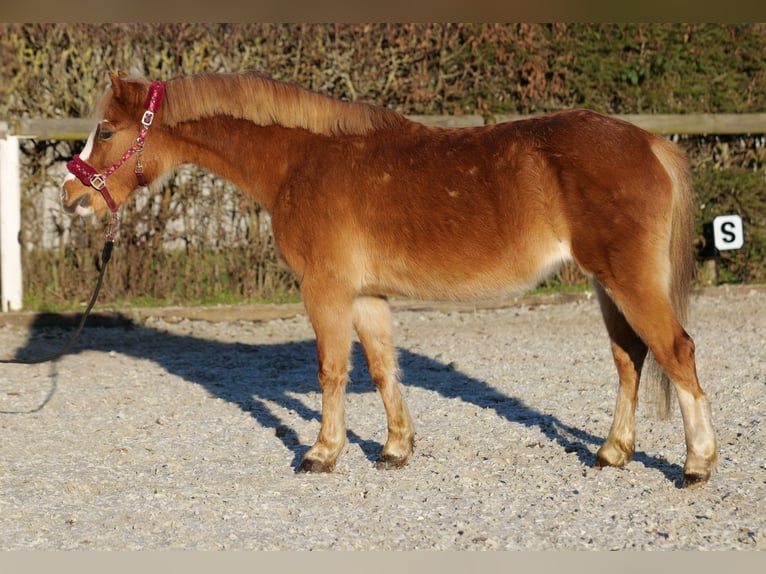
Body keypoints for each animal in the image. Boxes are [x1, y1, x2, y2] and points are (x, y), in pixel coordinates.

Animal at [61, 70, 720, 488]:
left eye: (108, 130)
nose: (71, 196)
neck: (300, 161)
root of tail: (650, 142)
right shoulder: (366, 294)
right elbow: (381, 367)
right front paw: (395, 449)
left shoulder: (325, 289)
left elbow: (331, 370)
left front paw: (321, 454)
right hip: (607, 286)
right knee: (630, 359)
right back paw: (612, 453)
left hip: (628, 282)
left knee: (676, 351)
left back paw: (696, 465)